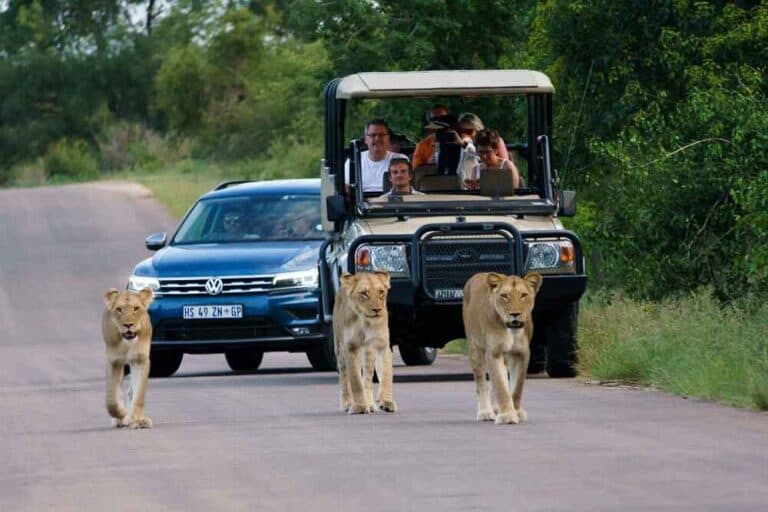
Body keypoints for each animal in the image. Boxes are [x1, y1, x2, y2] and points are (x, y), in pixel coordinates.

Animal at [102, 288, 154, 428]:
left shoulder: (140, 360)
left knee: (131, 391)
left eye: (136, 308)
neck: (128, 343)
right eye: (119, 309)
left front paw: (139, 420)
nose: (128, 325)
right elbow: (111, 399)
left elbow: (139, 394)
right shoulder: (114, 361)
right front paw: (121, 415)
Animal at [333, 271, 397, 414]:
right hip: (339, 349)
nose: (377, 310)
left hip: (368, 351)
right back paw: (347, 404)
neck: (365, 322)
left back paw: (371, 404)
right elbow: (355, 379)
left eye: (381, 292)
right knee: (344, 376)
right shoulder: (349, 346)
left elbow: (386, 374)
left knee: (367, 378)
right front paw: (360, 406)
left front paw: (387, 402)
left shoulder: (381, 344)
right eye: (364, 293)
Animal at [462, 272, 542, 424]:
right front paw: (507, 415)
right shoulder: (494, 352)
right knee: (482, 382)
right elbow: (500, 385)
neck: (512, 330)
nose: (515, 314)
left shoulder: (522, 353)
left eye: (523, 295)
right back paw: (486, 412)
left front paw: (516, 412)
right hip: (475, 348)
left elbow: (516, 387)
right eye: (505, 296)